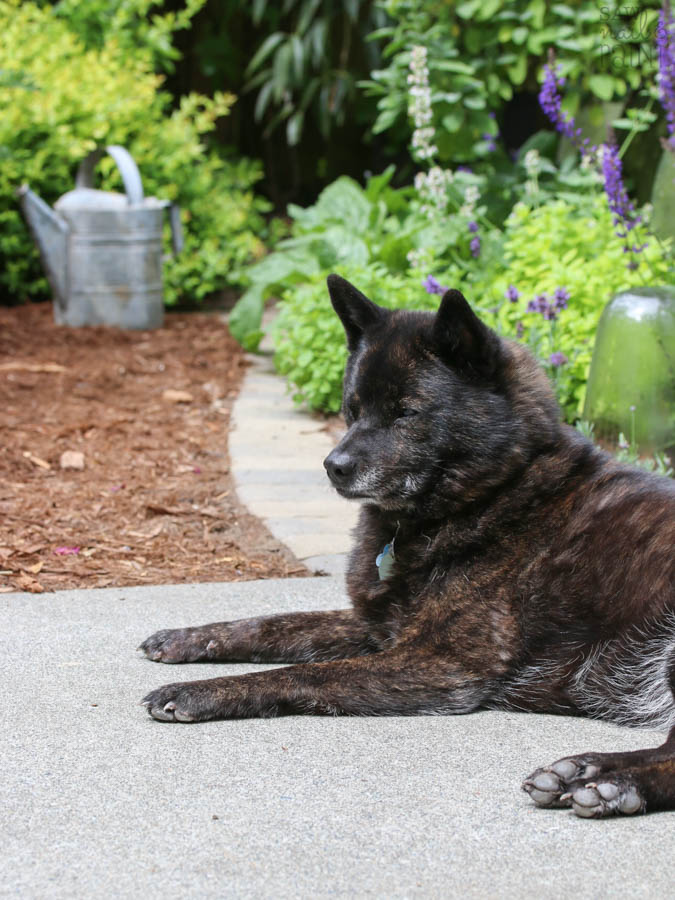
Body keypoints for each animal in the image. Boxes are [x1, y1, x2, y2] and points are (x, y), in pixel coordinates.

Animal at [140, 278, 672, 820]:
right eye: (352, 409)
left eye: (406, 412)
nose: (333, 466)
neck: (493, 494)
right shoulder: (378, 626)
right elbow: (273, 624)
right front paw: (187, 637)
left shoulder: (440, 664)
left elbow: (301, 674)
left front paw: (198, 692)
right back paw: (580, 772)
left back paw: (609, 781)